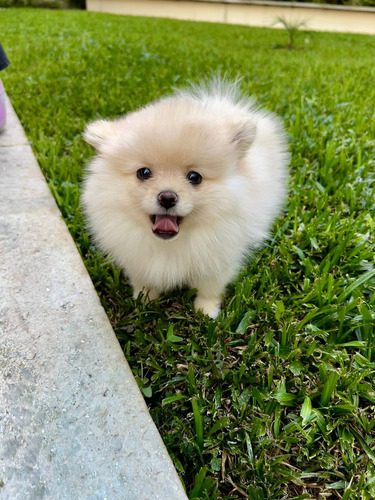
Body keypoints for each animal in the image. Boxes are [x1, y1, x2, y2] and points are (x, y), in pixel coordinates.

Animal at [82, 80, 290, 318]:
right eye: (144, 173)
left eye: (194, 177)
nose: (167, 197)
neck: (171, 245)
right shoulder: (137, 258)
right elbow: (144, 281)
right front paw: (144, 300)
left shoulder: (217, 261)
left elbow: (209, 288)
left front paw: (206, 311)